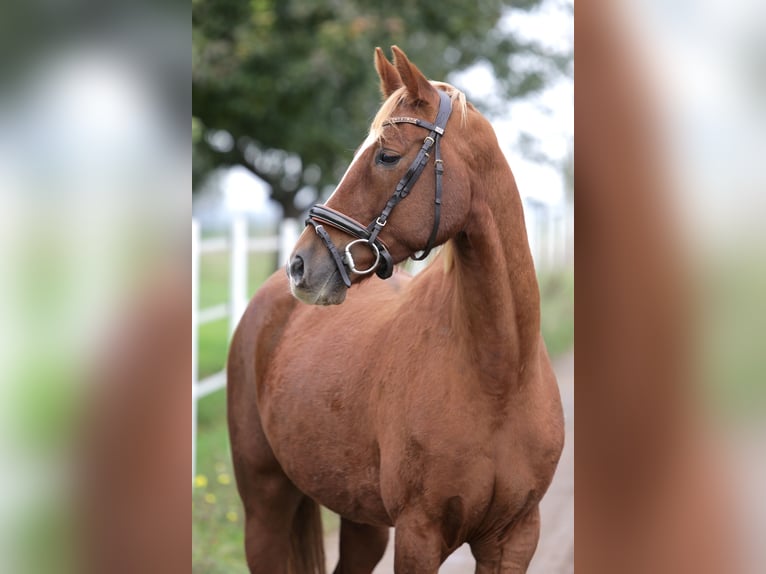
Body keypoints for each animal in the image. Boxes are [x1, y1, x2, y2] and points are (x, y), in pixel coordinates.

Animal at [226, 46, 564, 574]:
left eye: (386, 155)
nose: (301, 265)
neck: (500, 378)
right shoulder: (419, 536)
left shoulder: (514, 539)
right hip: (264, 509)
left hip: (361, 521)